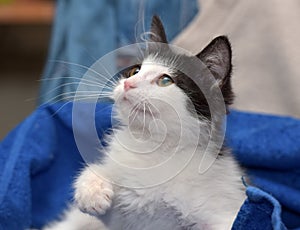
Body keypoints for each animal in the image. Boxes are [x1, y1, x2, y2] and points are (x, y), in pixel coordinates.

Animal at [45, 15, 246, 230]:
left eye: (165, 80)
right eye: (135, 71)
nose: (128, 84)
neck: (152, 146)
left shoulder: (225, 210)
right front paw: (92, 190)